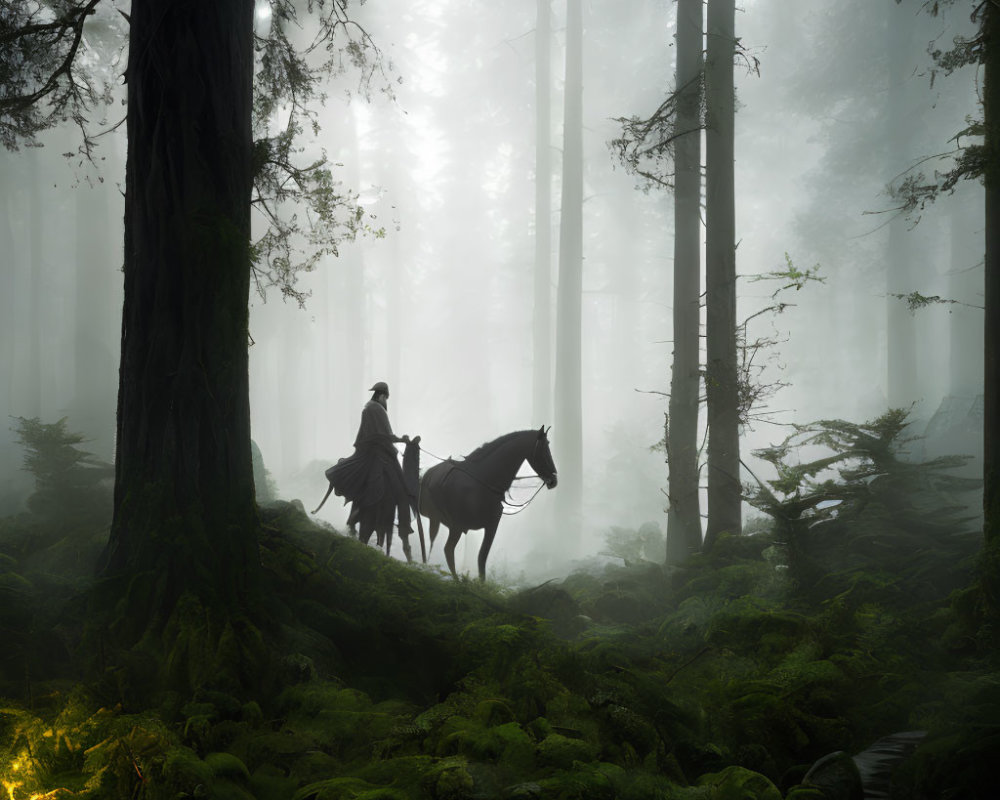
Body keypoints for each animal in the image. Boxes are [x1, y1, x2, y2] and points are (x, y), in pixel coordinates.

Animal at [414, 424, 556, 580]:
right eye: (545, 448)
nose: (554, 480)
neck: (482, 480)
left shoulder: (490, 526)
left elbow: (482, 558)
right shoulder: (463, 525)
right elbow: (474, 556)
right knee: (445, 548)